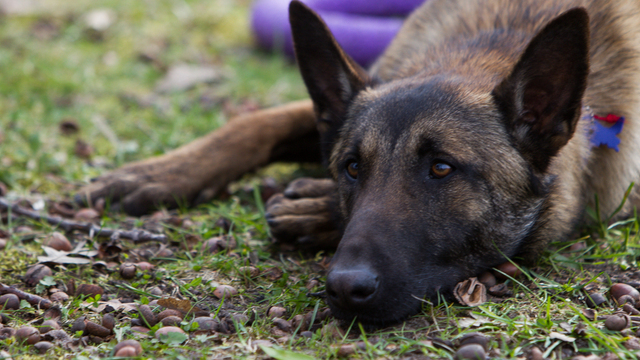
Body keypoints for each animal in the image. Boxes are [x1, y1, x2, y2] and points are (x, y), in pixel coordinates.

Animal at [77, 0, 640, 326]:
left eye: (442, 168)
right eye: (351, 167)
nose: (345, 289)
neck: (482, 50)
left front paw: (314, 207)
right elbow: (252, 125)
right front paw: (155, 173)